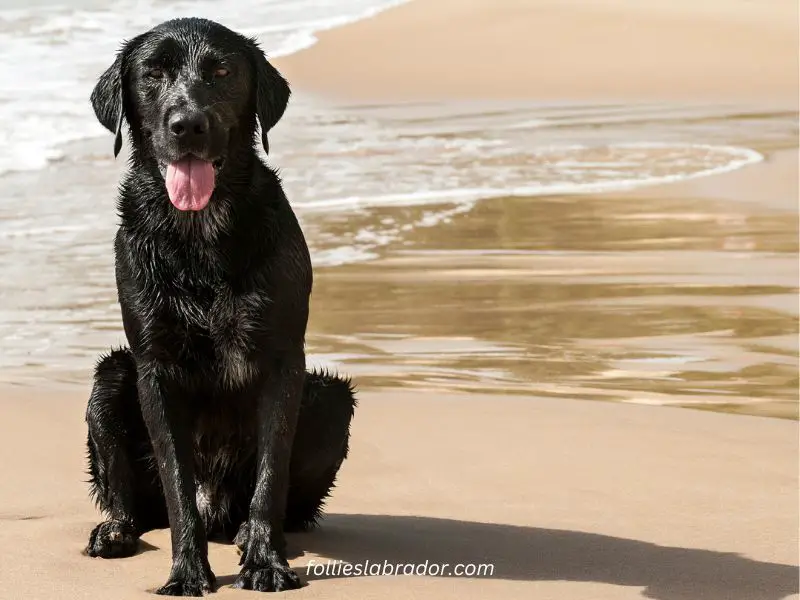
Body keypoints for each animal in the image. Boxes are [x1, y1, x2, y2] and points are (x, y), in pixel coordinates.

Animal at [83, 17, 354, 596]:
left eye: (223, 72)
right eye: (154, 73)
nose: (188, 125)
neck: (199, 235)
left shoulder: (283, 362)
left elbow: (271, 475)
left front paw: (266, 562)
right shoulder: (155, 371)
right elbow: (177, 483)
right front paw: (187, 571)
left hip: (330, 399)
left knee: (276, 507)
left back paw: (253, 535)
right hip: (110, 378)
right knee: (135, 504)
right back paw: (114, 531)